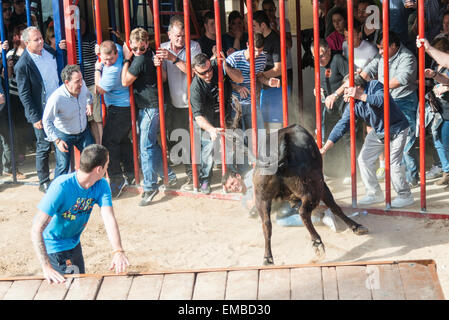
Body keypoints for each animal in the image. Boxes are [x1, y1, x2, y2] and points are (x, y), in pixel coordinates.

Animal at [252, 124, 368, 264]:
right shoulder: (322, 187)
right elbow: (335, 207)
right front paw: (356, 226)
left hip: (261, 198)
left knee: (266, 224)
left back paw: (268, 258)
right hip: (314, 190)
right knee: (304, 212)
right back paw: (317, 243)